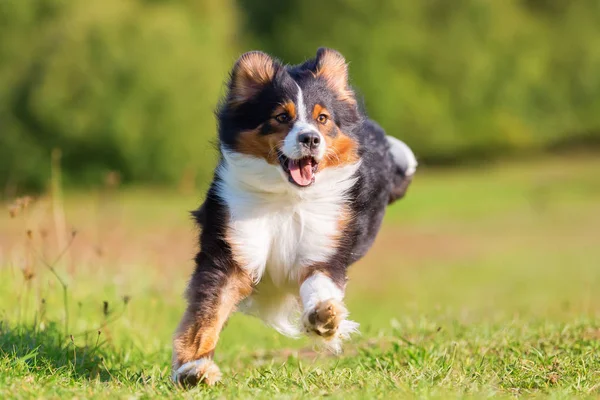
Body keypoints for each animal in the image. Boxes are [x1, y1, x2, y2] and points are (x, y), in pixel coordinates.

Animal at [172, 48, 418, 386]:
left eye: (322, 118)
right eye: (281, 117)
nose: (311, 139)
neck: (288, 198)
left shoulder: (325, 245)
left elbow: (319, 283)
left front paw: (324, 317)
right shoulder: (232, 250)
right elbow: (207, 313)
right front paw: (194, 368)